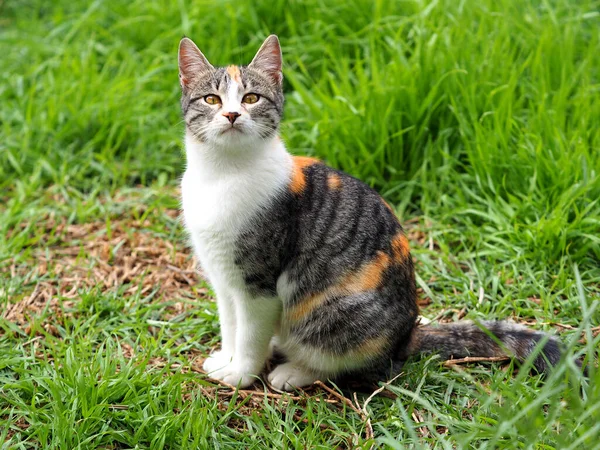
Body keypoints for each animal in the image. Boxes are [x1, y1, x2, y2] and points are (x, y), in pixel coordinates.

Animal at [177, 34, 564, 390]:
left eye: (251, 98)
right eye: (211, 99)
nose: (231, 114)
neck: (223, 174)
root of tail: (407, 336)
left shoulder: (258, 284)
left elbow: (250, 334)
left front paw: (241, 373)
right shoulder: (224, 278)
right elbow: (231, 325)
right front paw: (227, 359)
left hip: (333, 311)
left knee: (342, 360)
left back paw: (294, 372)